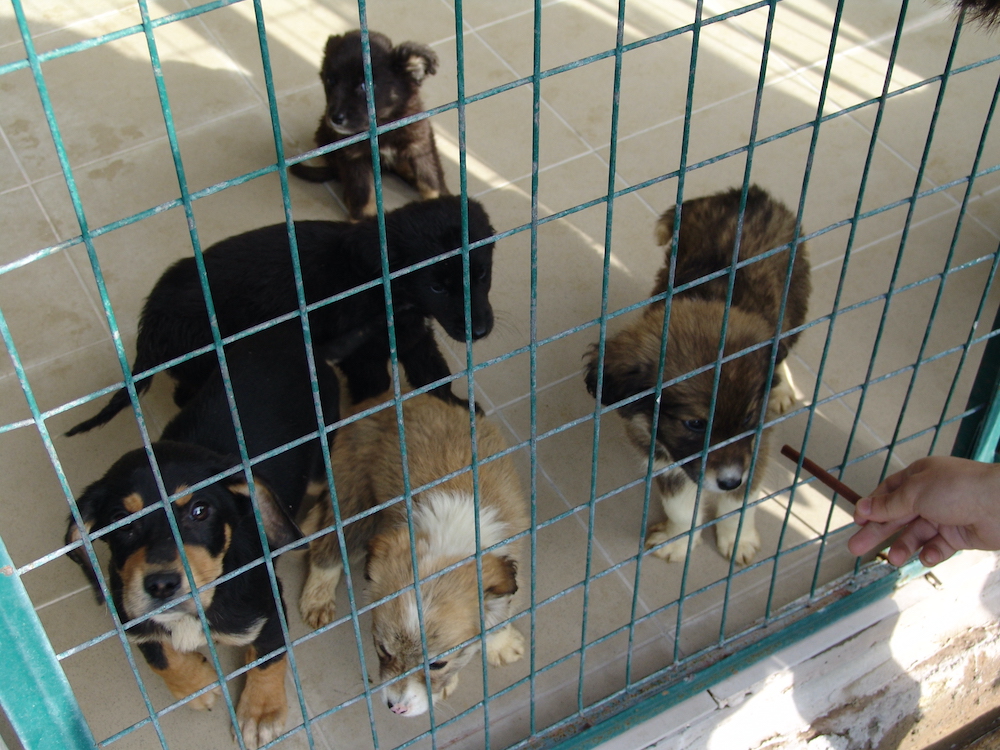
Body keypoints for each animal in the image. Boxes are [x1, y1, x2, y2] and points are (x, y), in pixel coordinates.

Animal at [65, 322, 343, 748]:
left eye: (200, 511)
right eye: (120, 520)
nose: (161, 585)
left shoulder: (266, 609)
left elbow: (268, 657)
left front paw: (261, 712)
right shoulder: (131, 614)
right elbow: (159, 656)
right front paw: (196, 685)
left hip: (319, 453)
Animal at [67, 196, 496, 437]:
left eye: (481, 273)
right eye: (437, 287)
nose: (481, 330)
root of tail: (150, 320)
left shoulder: (415, 335)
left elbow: (434, 375)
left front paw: (457, 408)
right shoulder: (364, 354)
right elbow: (375, 388)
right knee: (186, 392)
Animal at [290, 30, 447, 220]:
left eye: (364, 85)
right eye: (330, 80)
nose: (335, 118)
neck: (382, 125)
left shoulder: (420, 143)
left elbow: (431, 180)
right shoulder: (354, 158)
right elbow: (362, 195)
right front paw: (363, 220)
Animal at [299, 391, 527, 717]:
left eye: (437, 664)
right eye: (382, 649)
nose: (395, 708)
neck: (452, 535)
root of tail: (381, 398)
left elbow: (498, 610)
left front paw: (500, 643)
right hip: (354, 505)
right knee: (327, 549)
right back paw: (317, 599)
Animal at [584, 185, 811, 565]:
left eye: (747, 417)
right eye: (694, 424)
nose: (730, 480)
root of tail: (748, 193)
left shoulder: (755, 445)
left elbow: (739, 504)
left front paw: (737, 539)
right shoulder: (661, 451)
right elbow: (679, 504)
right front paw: (678, 540)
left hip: (794, 300)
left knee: (783, 348)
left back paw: (780, 388)